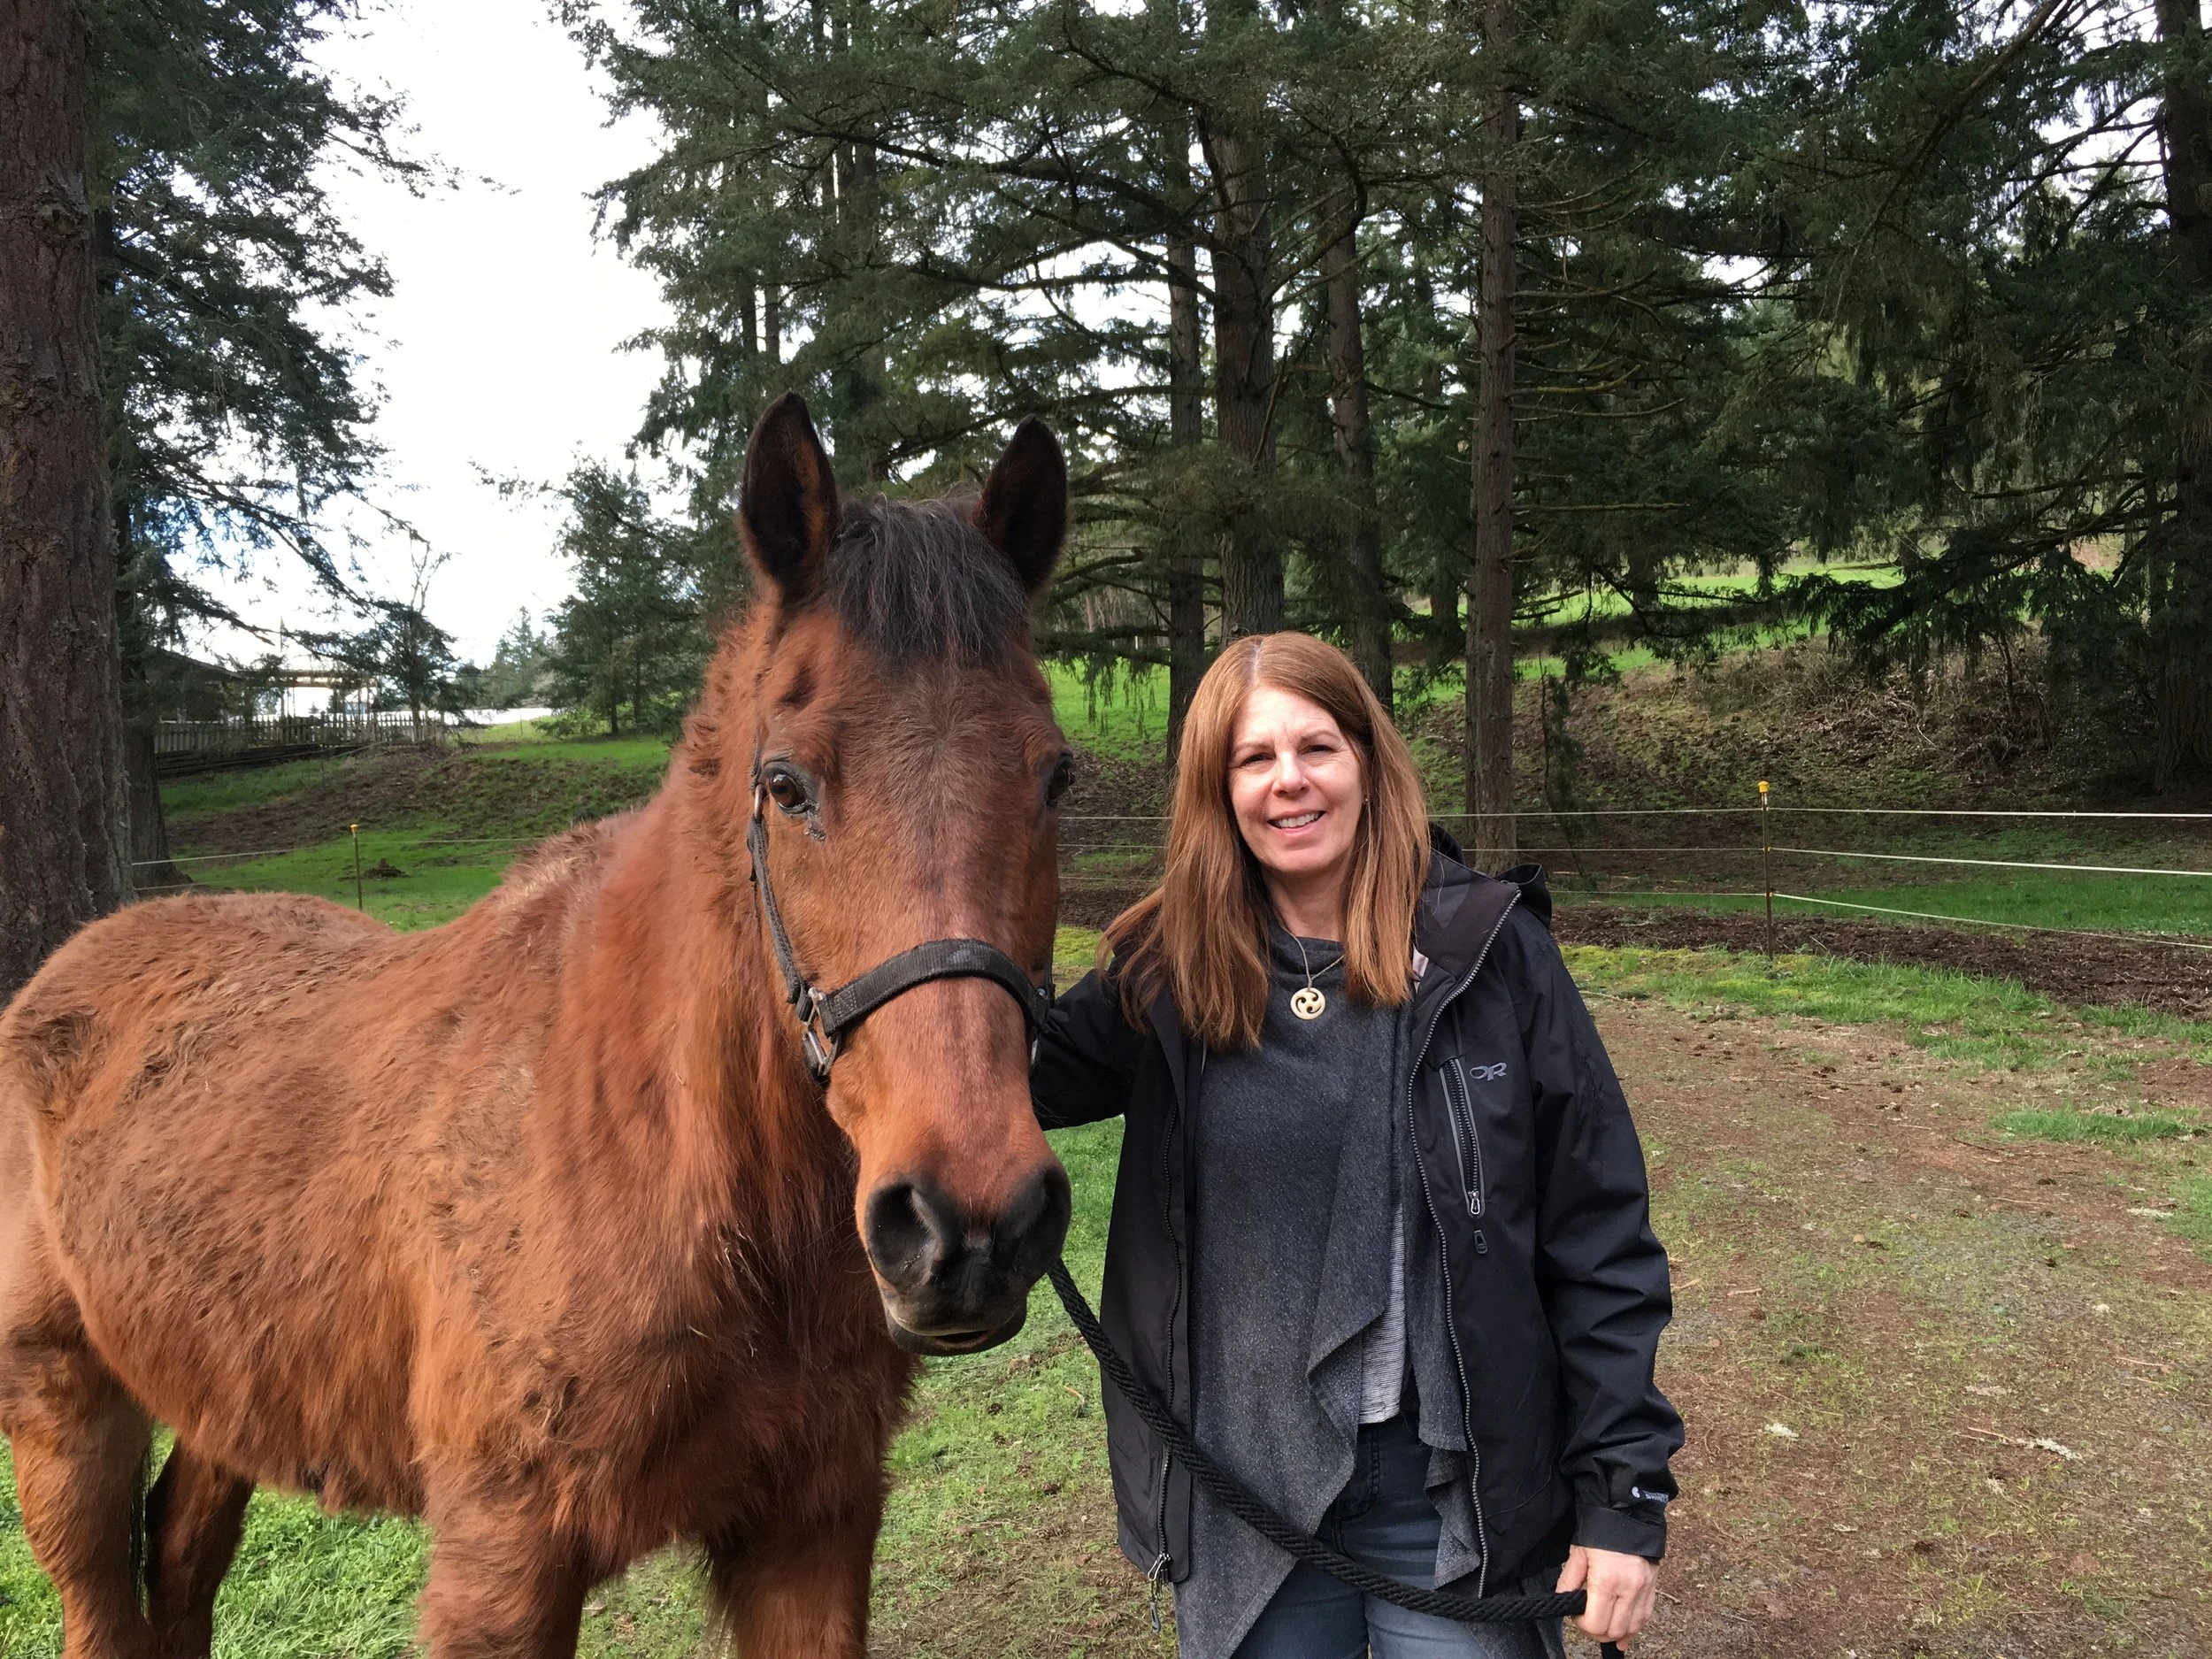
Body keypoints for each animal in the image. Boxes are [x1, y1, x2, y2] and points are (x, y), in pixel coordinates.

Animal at [0, 394, 1077, 1657]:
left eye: (1053, 778)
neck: (672, 1164)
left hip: (226, 1391)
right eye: (785, 785)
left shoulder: (811, 1526)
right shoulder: (501, 1563)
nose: (970, 1224)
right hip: (65, 1412)